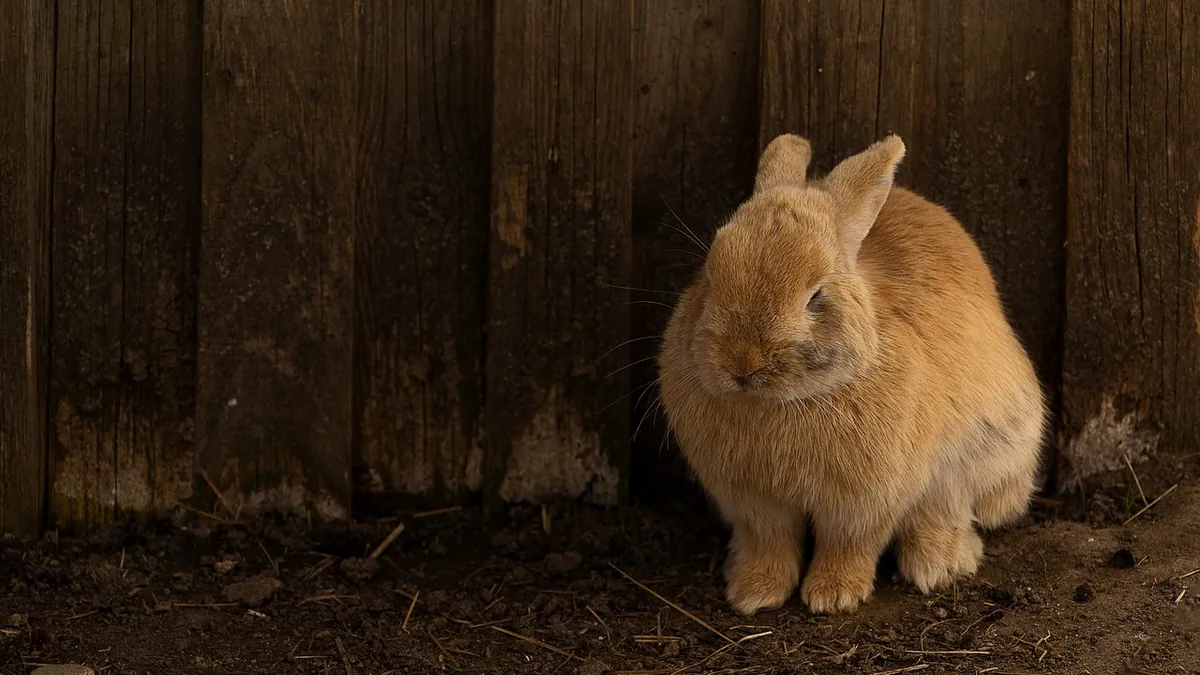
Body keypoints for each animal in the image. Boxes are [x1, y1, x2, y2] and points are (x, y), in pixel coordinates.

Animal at [656, 134, 1046, 616]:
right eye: (711, 274)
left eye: (816, 297)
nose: (741, 363)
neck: (785, 401)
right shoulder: (755, 504)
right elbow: (770, 543)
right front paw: (753, 593)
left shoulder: (865, 502)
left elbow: (850, 543)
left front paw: (833, 596)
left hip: (975, 454)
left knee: (944, 513)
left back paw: (938, 567)